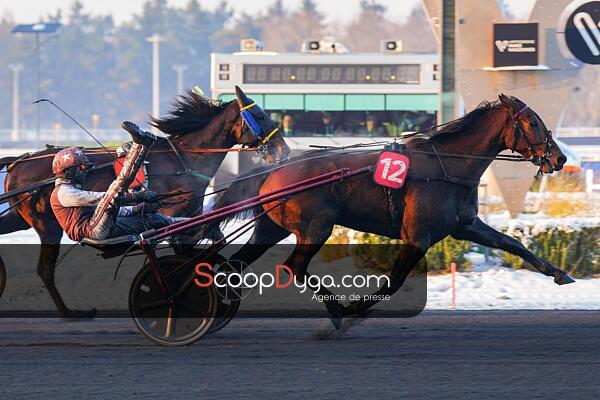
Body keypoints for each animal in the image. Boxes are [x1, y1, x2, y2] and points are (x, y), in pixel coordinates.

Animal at [0, 86, 290, 318]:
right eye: (261, 116)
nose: (284, 149)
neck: (182, 160)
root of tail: (17, 162)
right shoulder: (175, 215)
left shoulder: (190, 214)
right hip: (47, 224)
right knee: (45, 270)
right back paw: (69, 313)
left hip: (21, 217)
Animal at [200, 94, 572, 327]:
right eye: (533, 123)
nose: (559, 158)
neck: (446, 164)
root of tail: (274, 169)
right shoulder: (418, 236)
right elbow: (393, 281)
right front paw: (353, 309)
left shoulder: (465, 225)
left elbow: (513, 244)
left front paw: (559, 273)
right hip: (316, 227)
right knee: (294, 265)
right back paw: (335, 308)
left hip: (271, 228)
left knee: (236, 265)